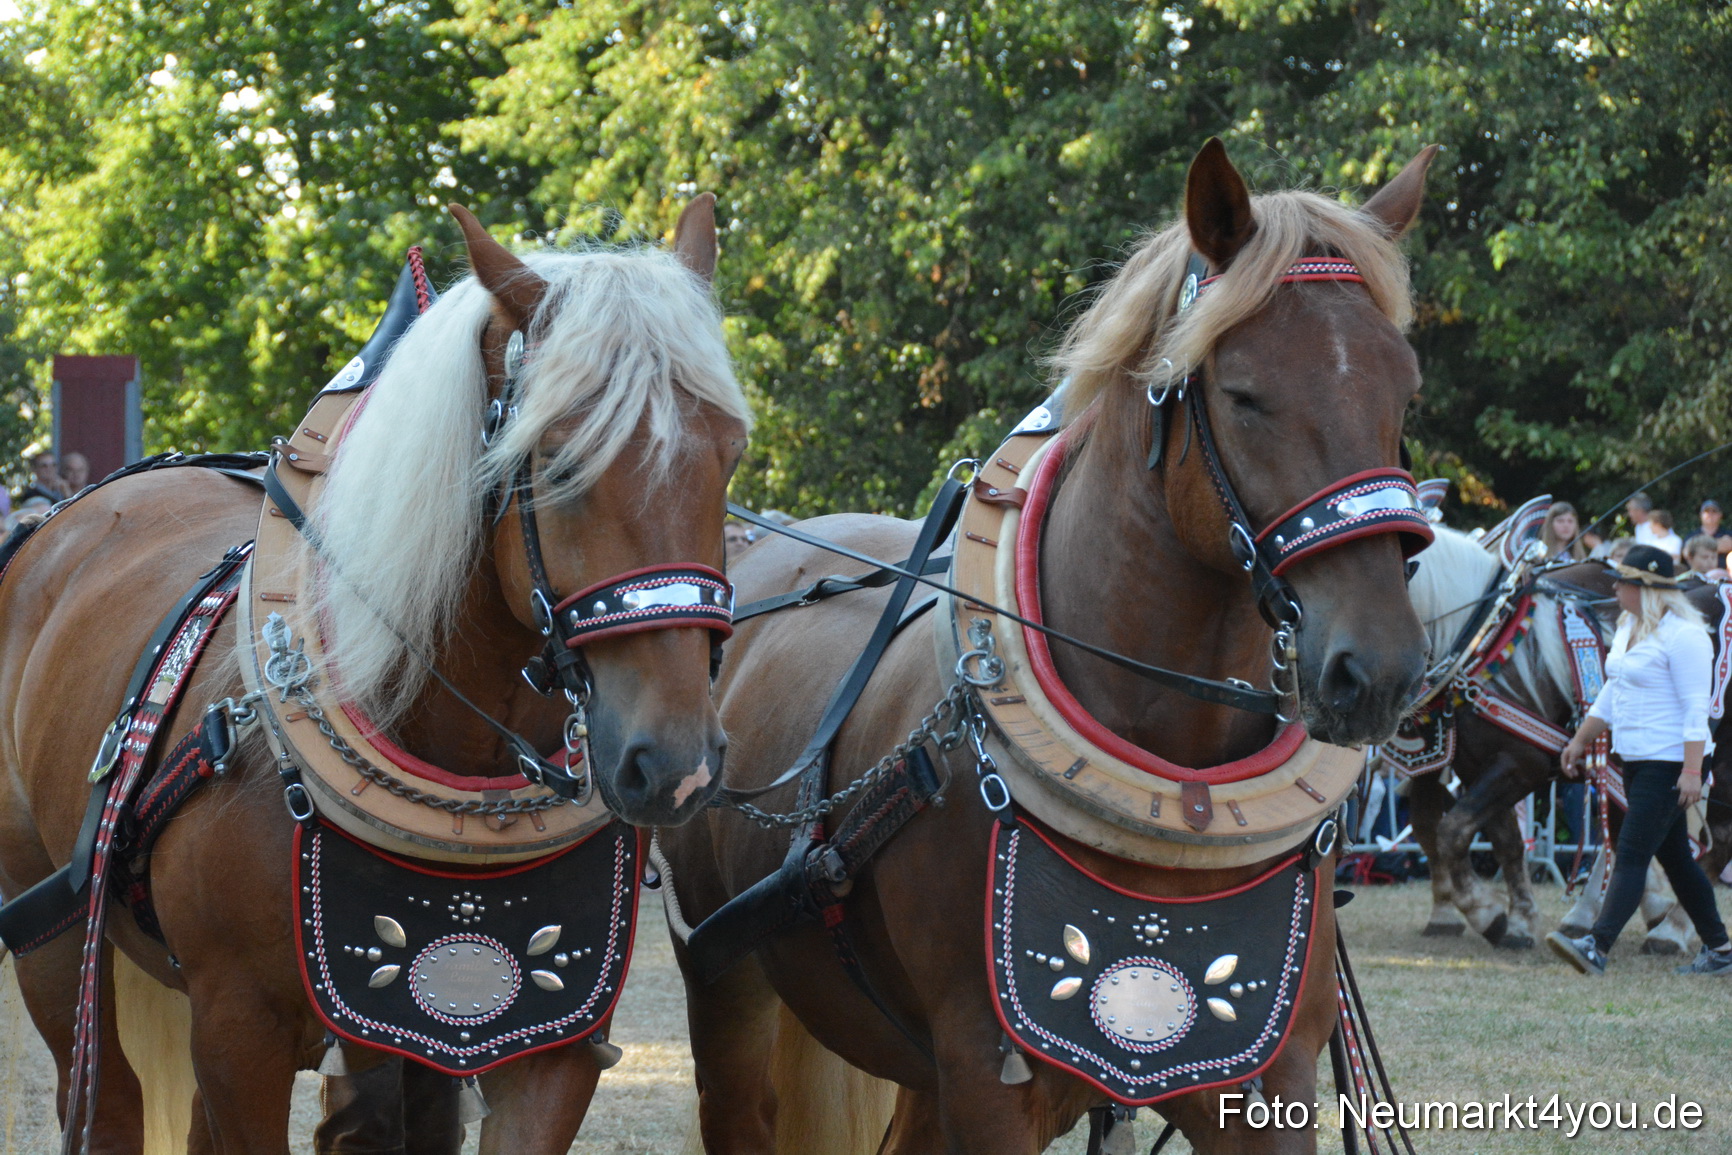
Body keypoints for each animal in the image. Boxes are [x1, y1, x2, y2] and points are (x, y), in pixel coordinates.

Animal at [0, 195, 749, 1153]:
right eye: (560, 459)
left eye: (728, 453)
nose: (674, 764)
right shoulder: (236, 1032)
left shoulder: (553, 1043)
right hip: (55, 939)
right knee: (102, 1094)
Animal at [658, 140, 1438, 1155]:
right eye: (1243, 394)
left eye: (1404, 389)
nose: (1376, 668)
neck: (1175, 790)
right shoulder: (990, 1085)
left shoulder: (1270, 1079)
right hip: (732, 990)